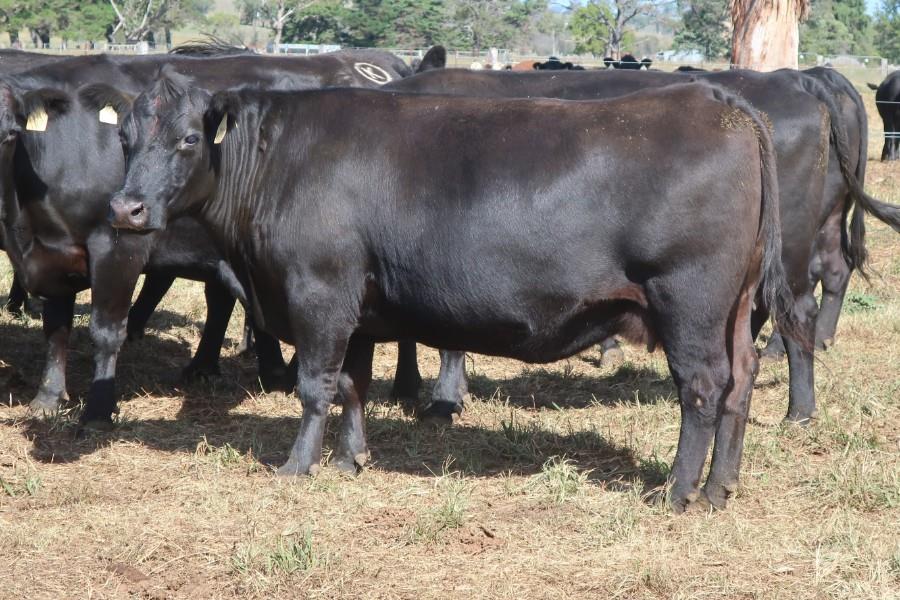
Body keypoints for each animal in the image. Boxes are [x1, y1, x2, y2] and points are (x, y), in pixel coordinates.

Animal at [0, 47, 428, 422]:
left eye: (8, 134)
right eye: (121, 138)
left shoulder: (116, 244)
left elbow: (105, 331)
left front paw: (98, 409)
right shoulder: (53, 252)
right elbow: (56, 327)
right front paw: (48, 397)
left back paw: (406, 387)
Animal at [109, 71, 800, 512]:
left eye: (189, 139)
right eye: (125, 139)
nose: (126, 208)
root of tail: (720, 101)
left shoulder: (318, 294)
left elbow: (314, 386)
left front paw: (298, 466)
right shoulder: (362, 310)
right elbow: (353, 385)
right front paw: (350, 460)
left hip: (689, 302)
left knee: (704, 388)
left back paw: (679, 492)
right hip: (735, 310)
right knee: (739, 381)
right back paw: (719, 489)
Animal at [384, 67, 900, 424]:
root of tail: (799, 78)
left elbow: (447, 339)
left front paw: (442, 399)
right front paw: (408, 385)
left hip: (786, 246)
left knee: (798, 310)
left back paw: (799, 409)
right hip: (812, 230)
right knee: (815, 283)